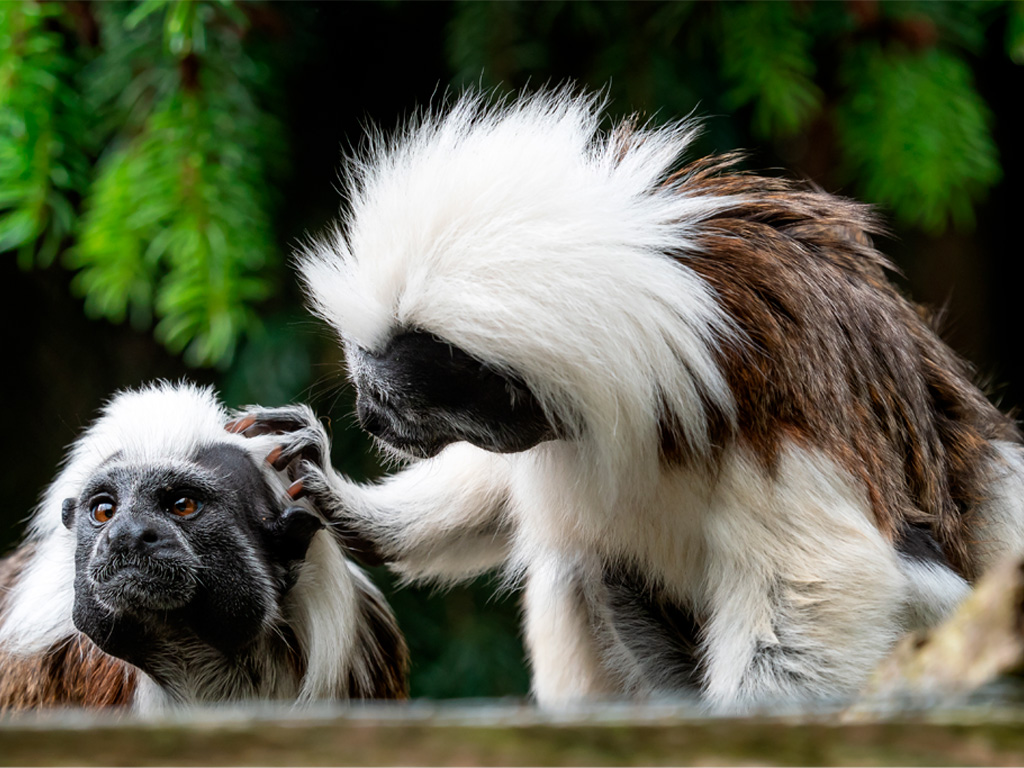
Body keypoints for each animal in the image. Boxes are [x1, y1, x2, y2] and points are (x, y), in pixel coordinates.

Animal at [239, 88, 1024, 710]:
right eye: (367, 391)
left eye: (393, 399)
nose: (370, 418)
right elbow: (500, 493)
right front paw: (343, 503)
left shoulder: (774, 410)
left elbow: (821, 583)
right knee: (581, 563)